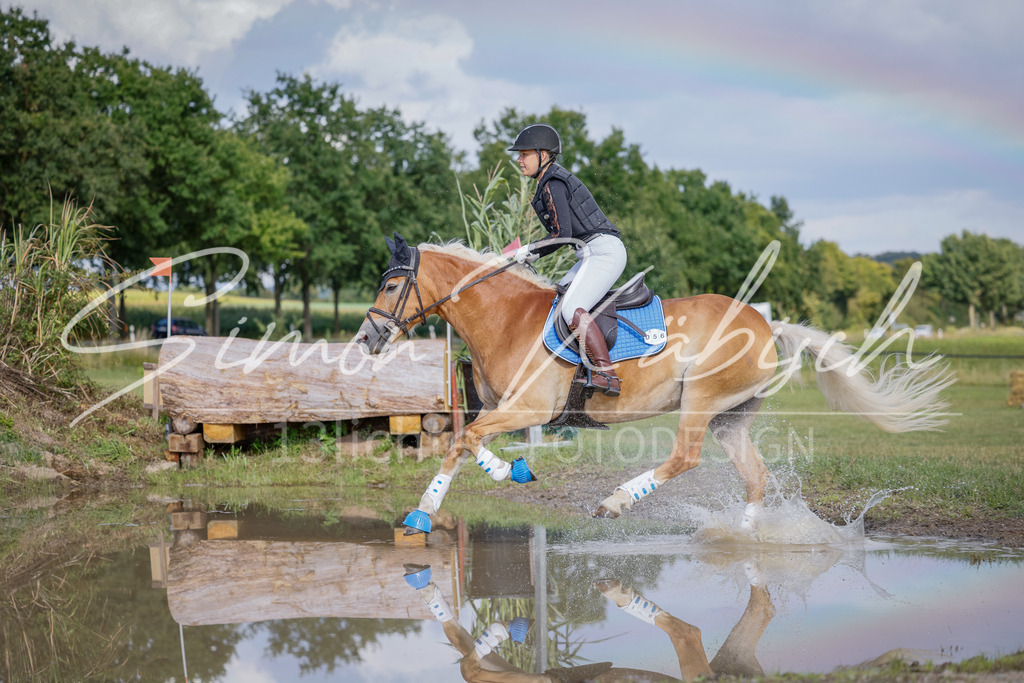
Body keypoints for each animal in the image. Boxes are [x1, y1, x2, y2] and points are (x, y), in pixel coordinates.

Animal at [354, 235, 953, 535]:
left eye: (391, 285)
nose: (366, 338)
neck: (505, 319)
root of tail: (765, 325)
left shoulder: (530, 410)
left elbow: (464, 439)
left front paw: (496, 477)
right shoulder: (500, 409)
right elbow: (465, 441)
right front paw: (439, 503)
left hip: (701, 400)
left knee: (685, 457)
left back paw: (616, 502)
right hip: (731, 417)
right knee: (754, 476)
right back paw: (744, 536)